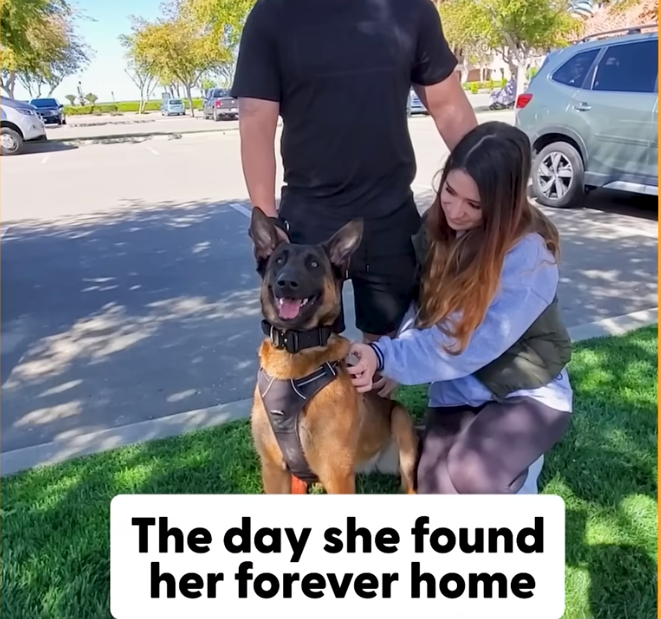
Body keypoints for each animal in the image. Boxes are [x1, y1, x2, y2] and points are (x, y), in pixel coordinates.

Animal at [248, 207, 419, 494]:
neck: (294, 354)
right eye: (279, 261)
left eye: (314, 265)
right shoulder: (273, 470)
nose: (286, 282)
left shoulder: (337, 475)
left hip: (401, 422)